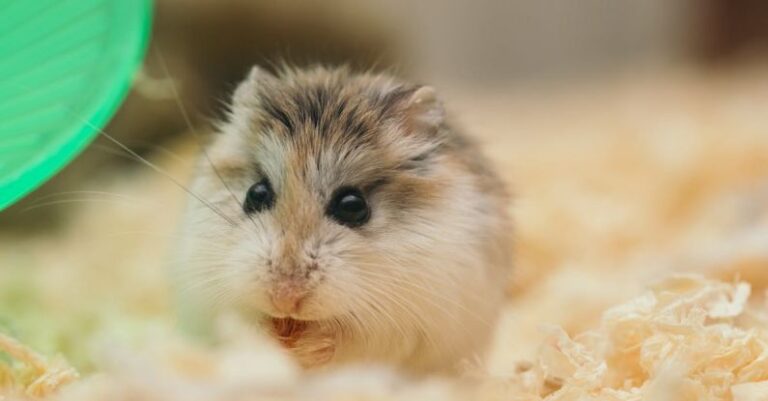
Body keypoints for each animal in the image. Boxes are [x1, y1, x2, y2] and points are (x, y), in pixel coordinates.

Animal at [174, 64, 510, 374]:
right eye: (256, 194)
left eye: (352, 206)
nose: (285, 299)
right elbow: (239, 324)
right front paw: (273, 340)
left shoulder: (404, 323)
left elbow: (349, 341)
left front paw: (307, 348)